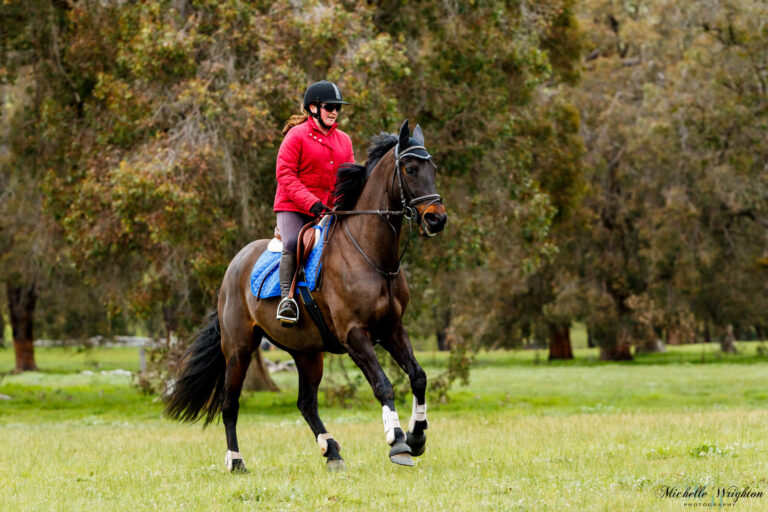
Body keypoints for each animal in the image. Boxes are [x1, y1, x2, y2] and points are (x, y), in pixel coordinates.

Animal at [165, 120, 448, 472]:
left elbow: (418, 377)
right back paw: (236, 460)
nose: (437, 219)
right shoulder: (355, 335)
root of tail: (234, 265)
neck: (372, 257)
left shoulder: (392, 329)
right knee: (229, 404)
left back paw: (332, 451)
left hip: (307, 353)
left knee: (306, 403)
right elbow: (382, 384)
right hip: (239, 350)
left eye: (433, 169)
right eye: (410, 169)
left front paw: (417, 435)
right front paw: (398, 443)